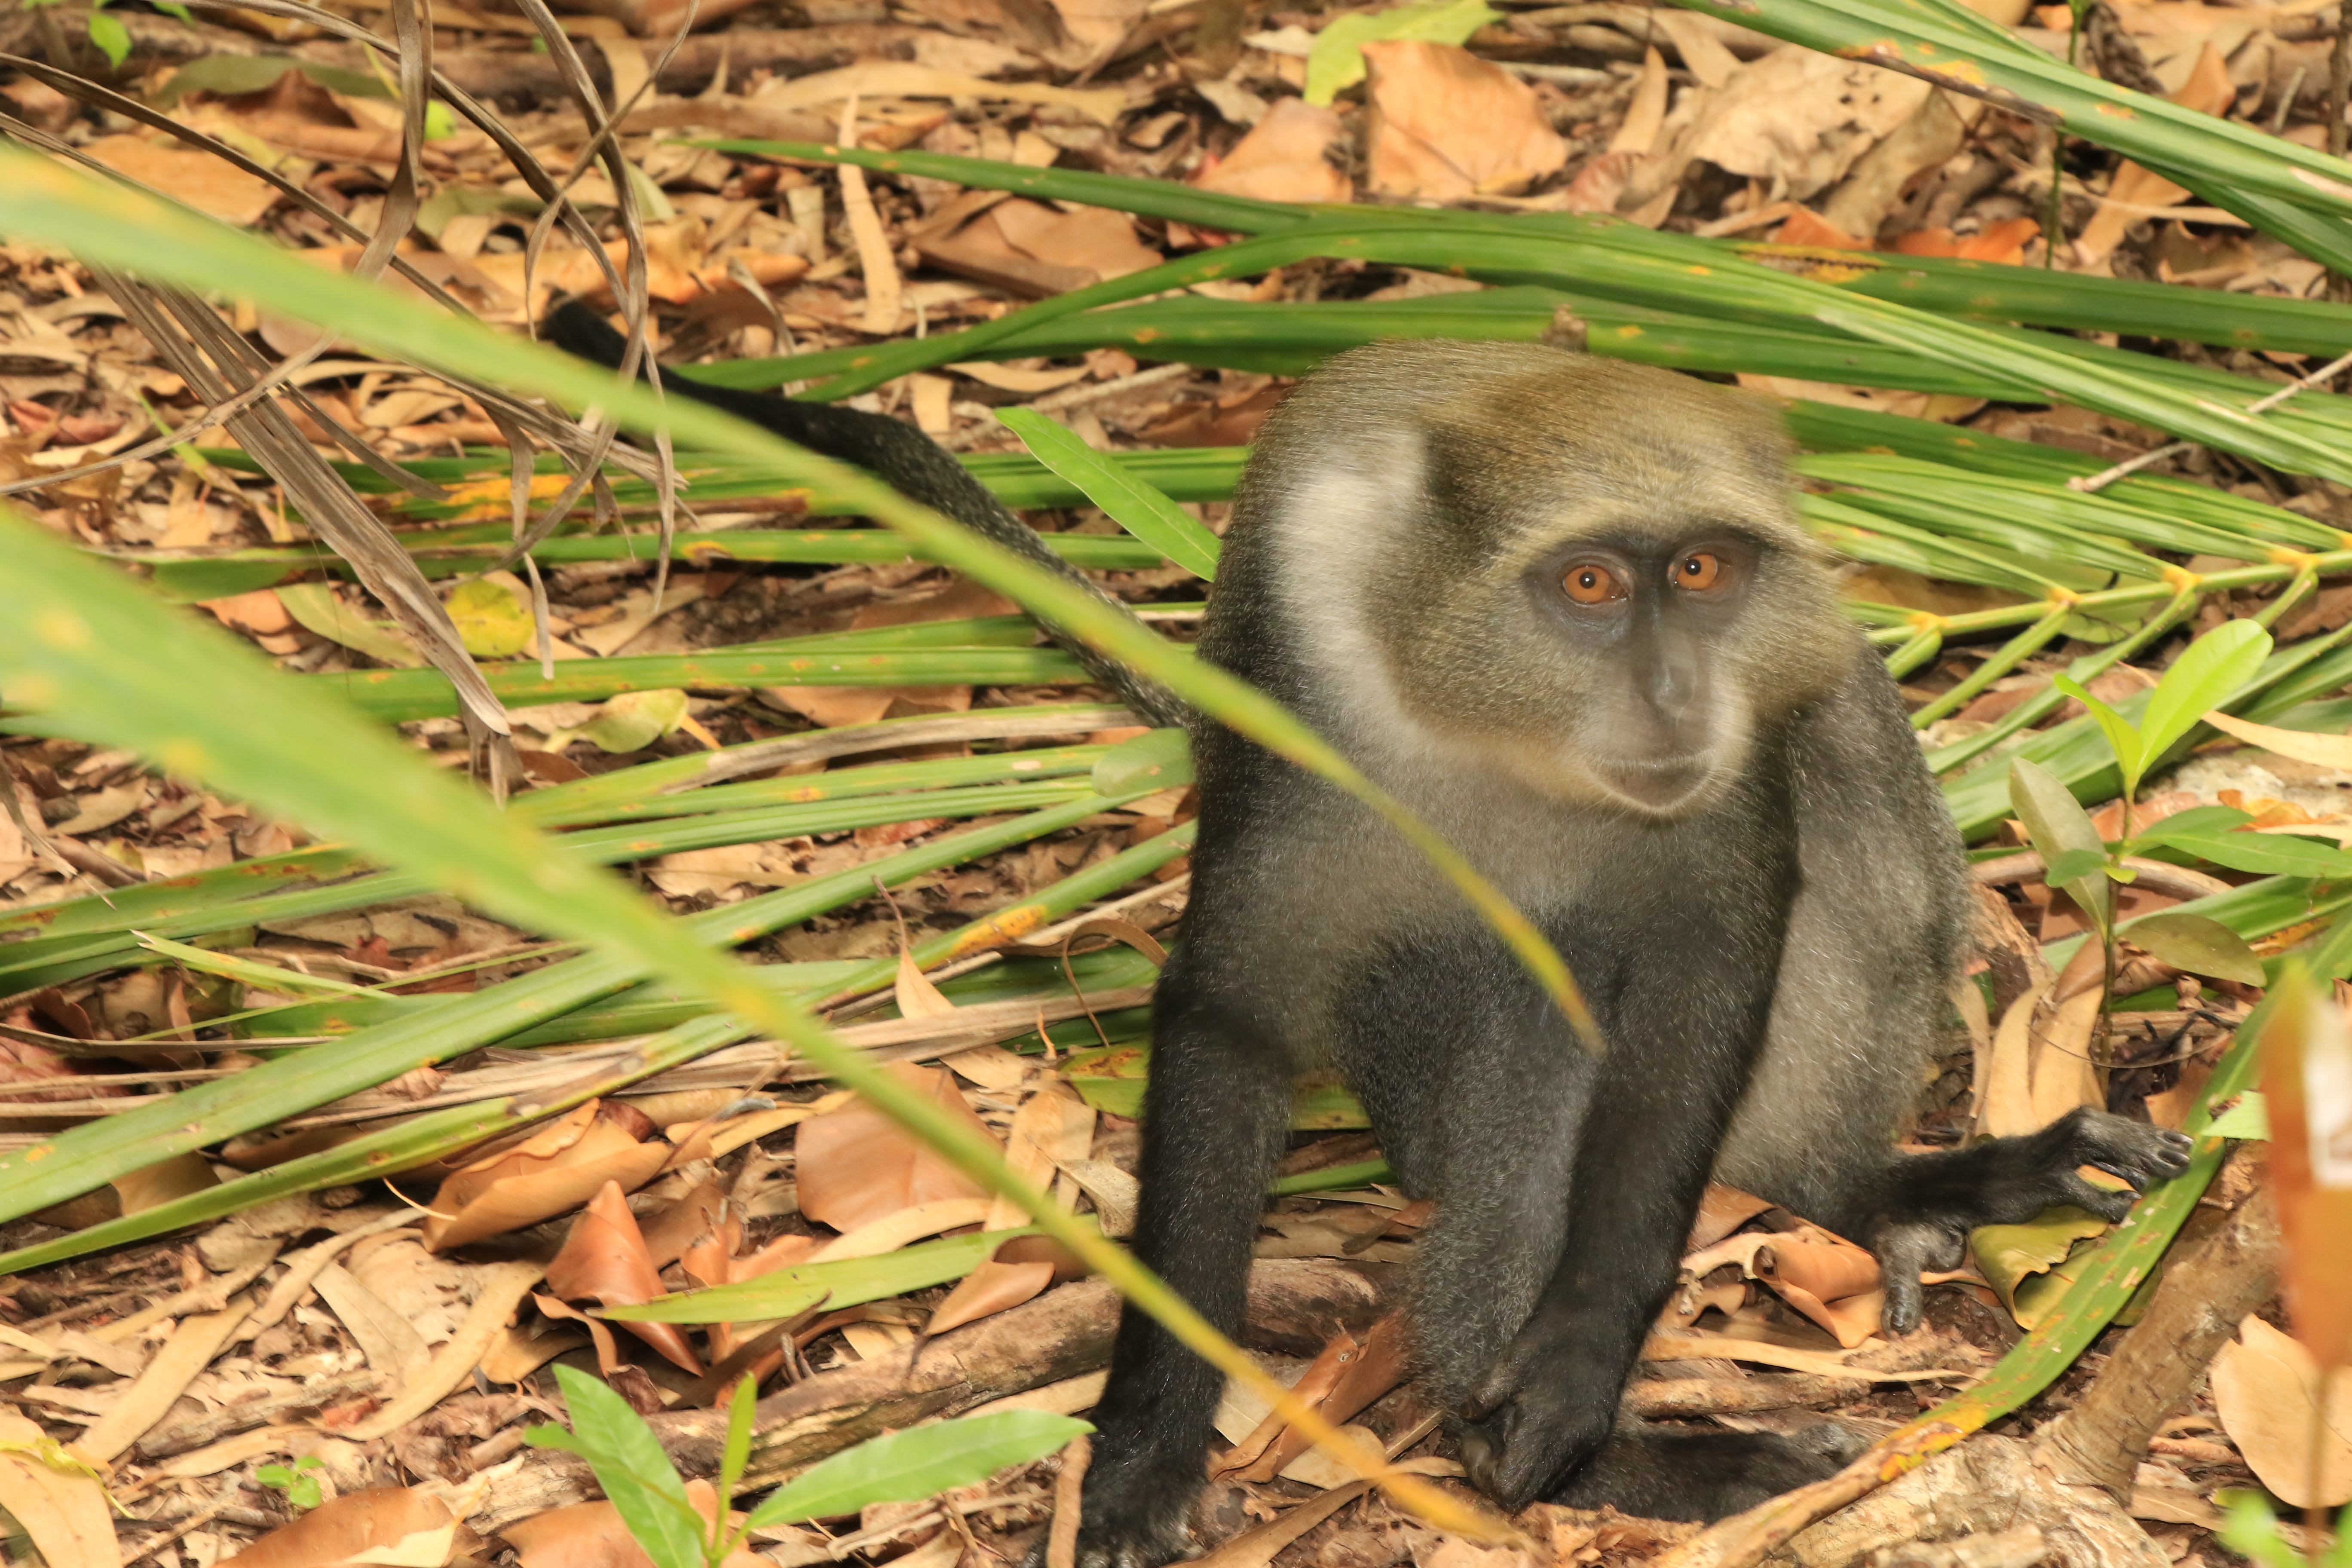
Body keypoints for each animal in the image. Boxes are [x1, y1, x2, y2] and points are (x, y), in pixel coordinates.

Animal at [544, 312, 2195, 1555]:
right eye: (1588, 582)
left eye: (1701, 573)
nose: (1676, 699)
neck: (1490, 716)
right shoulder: (1303, 710)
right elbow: (1233, 1010)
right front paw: (1150, 1449)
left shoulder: (1721, 784)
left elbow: (1713, 959)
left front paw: (1578, 1369)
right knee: (1525, 1016)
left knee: (1837, 732)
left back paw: (1847, 1192)